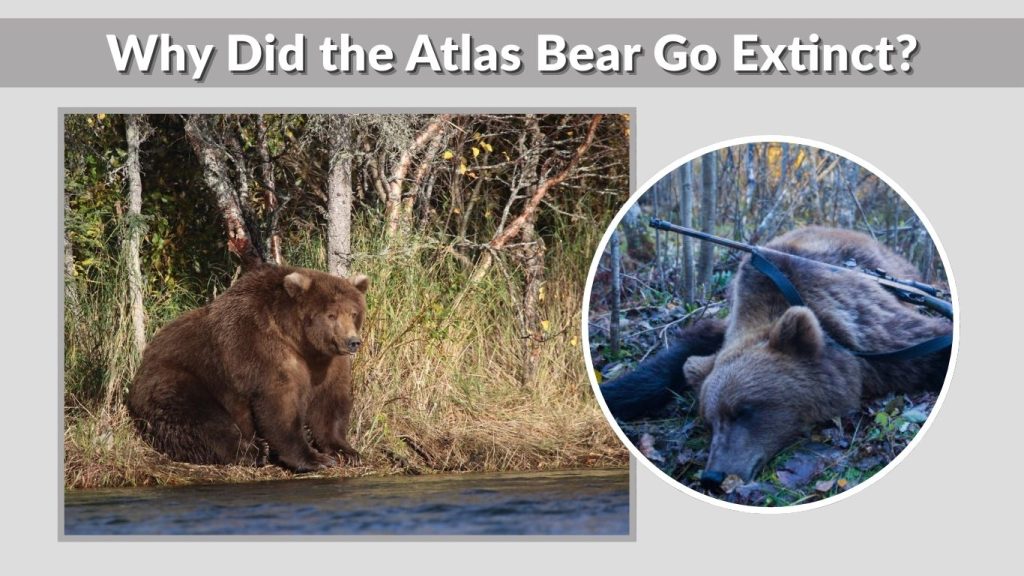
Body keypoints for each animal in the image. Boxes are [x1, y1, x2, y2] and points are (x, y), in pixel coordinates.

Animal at [127, 264, 369, 473]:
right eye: (331, 315)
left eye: (354, 313)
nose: (352, 342)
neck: (300, 343)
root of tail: (141, 367)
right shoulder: (261, 350)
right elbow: (279, 406)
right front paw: (314, 458)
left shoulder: (327, 364)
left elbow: (329, 403)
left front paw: (347, 452)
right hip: (179, 380)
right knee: (203, 421)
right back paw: (256, 451)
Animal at [599, 226, 952, 487]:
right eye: (710, 421)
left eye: (744, 411)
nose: (713, 476)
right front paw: (615, 393)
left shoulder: (865, 326)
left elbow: (931, 341)